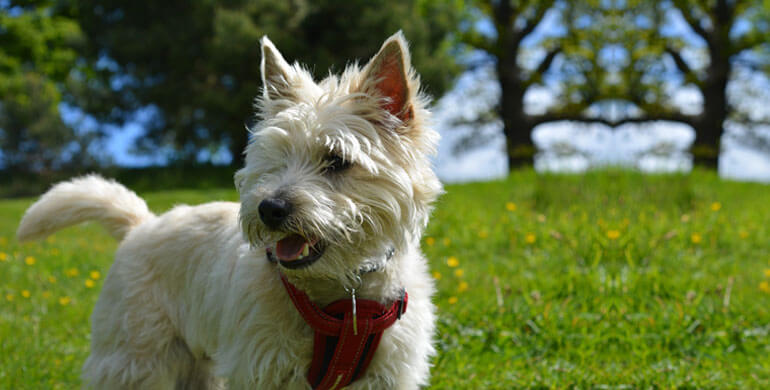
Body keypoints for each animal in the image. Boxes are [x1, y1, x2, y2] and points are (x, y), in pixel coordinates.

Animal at [18, 32, 444, 388]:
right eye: (275, 158)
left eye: (337, 160)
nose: (270, 208)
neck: (344, 297)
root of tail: (143, 225)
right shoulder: (260, 366)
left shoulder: (387, 374)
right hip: (135, 356)